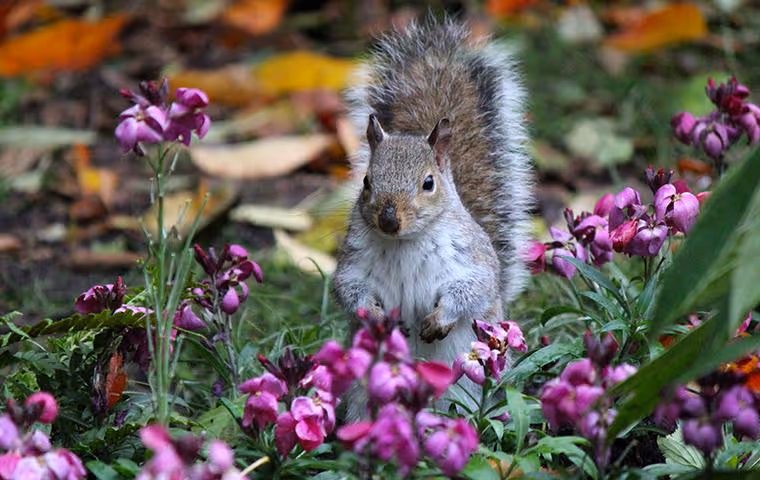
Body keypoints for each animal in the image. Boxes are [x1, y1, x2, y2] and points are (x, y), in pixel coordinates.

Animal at [332, 18, 532, 416]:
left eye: (428, 183)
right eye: (366, 181)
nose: (389, 220)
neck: (405, 242)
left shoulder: (471, 259)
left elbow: (474, 288)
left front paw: (438, 320)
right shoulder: (353, 261)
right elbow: (350, 289)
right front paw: (377, 317)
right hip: (365, 385)